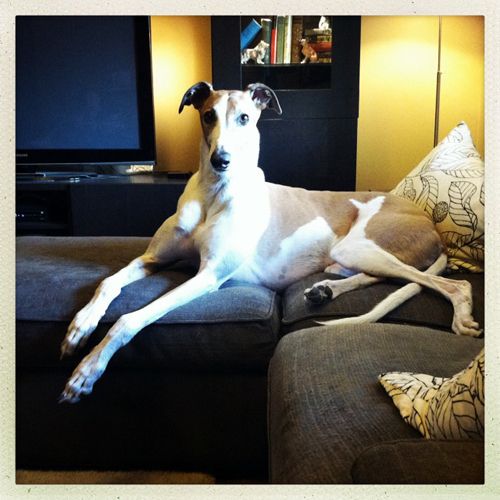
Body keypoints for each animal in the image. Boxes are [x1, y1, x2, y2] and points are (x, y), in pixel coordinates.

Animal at [58, 82, 480, 402]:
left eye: (245, 118)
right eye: (208, 115)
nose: (221, 160)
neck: (214, 194)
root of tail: (429, 224)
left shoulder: (209, 276)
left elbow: (130, 318)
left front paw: (87, 371)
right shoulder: (153, 258)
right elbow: (108, 282)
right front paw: (80, 326)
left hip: (362, 246)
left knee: (448, 283)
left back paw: (461, 318)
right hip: (347, 255)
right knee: (381, 277)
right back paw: (323, 292)